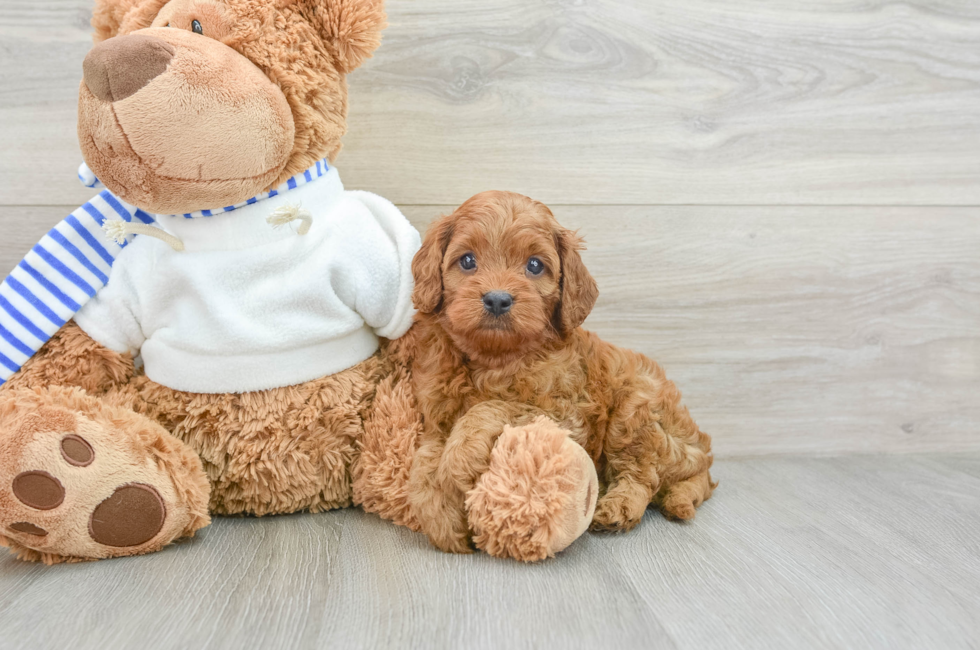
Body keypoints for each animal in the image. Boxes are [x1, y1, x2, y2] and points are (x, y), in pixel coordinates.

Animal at [402, 190, 716, 548]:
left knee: (642, 476)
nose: (497, 299)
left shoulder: (567, 418)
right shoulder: (435, 415)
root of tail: (701, 454)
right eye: (467, 261)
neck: (494, 358)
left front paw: (458, 460)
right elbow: (425, 456)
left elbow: (493, 407)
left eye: (535, 265)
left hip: (636, 409)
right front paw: (439, 514)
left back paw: (617, 507)